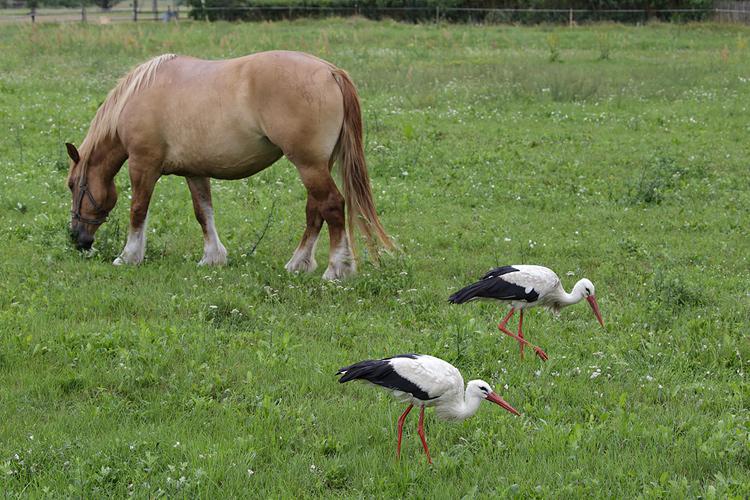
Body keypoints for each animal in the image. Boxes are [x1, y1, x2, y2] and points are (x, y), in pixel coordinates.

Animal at [66, 52, 394, 280]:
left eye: (71, 185)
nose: (76, 238)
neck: (139, 95)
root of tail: (329, 71)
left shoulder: (143, 165)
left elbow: (138, 211)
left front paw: (129, 256)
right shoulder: (195, 172)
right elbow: (203, 213)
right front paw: (213, 257)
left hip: (309, 165)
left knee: (332, 206)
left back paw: (336, 269)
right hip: (317, 165)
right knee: (315, 211)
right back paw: (298, 263)